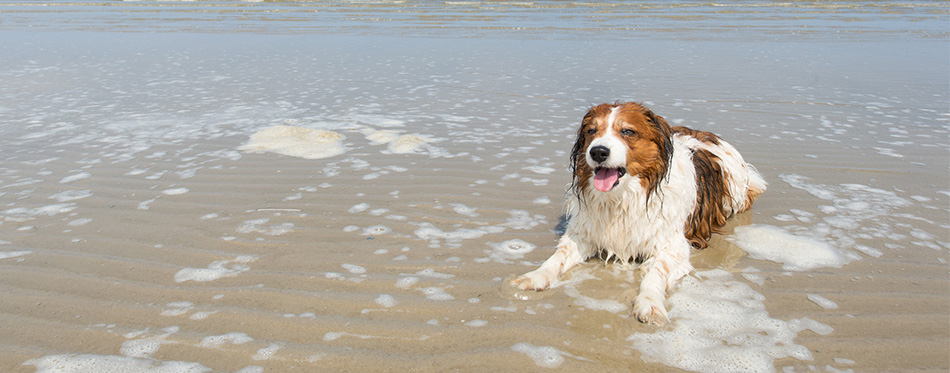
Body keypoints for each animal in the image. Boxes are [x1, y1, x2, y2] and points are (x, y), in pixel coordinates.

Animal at [512, 100, 768, 324]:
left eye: (627, 131)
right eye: (592, 131)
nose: (598, 152)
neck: (623, 198)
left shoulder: (673, 248)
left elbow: (655, 274)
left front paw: (650, 304)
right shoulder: (583, 234)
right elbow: (556, 258)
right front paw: (534, 276)